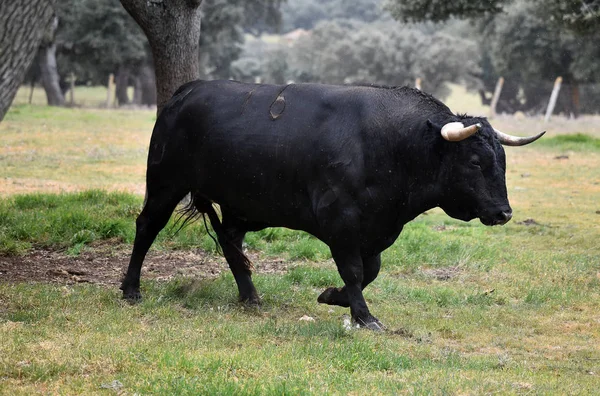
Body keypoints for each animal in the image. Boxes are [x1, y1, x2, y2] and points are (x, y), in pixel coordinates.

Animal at [122, 79, 544, 330]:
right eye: (474, 161)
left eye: (502, 160)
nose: (504, 213)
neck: (392, 145)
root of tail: (186, 92)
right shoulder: (339, 222)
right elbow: (355, 271)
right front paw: (364, 316)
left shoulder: (376, 229)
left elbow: (369, 271)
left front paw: (333, 297)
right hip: (164, 184)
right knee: (147, 227)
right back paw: (130, 290)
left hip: (241, 205)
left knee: (229, 241)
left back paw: (250, 296)